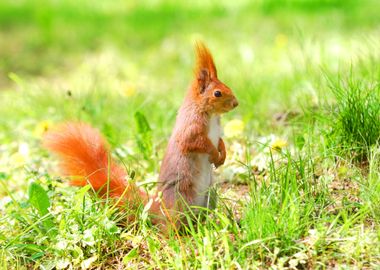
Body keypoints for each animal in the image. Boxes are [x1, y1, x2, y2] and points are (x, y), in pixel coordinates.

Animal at [43, 42, 238, 230]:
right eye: (217, 93)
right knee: (169, 227)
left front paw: (222, 154)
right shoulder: (190, 128)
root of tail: (157, 208)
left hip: (210, 196)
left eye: (227, 86)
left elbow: (220, 141)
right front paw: (214, 153)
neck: (210, 114)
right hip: (181, 198)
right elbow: (196, 143)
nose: (236, 103)